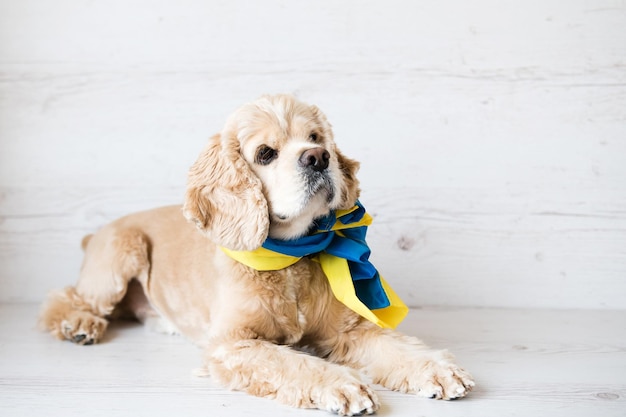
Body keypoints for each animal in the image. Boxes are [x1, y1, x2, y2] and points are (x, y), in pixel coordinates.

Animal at [40, 95, 472, 416]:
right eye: (265, 153)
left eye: (316, 136)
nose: (318, 156)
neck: (291, 258)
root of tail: (96, 234)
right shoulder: (234, 345)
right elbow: (293, 361)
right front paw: (343, 385)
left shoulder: (346, 331)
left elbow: (394, 346)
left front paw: (437, 369)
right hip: (121, 253)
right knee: (64, 298)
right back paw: (80, 324)